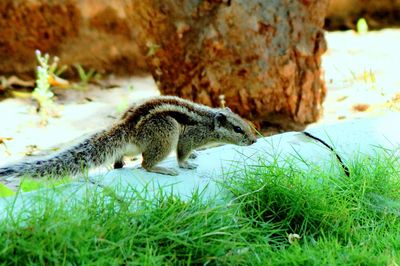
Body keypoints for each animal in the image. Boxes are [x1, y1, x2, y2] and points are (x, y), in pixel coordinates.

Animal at [0, 95, 256, 179]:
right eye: (238, 129)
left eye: (248, 124)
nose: (254, 140)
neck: (209, 122)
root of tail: (127, 127)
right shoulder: (188, 137)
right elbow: (182, 153)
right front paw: (186, 163)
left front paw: (193, 157)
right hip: (167, 134)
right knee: (145, 163)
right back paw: (163, 168)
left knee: (121, 160)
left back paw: (120, 164)